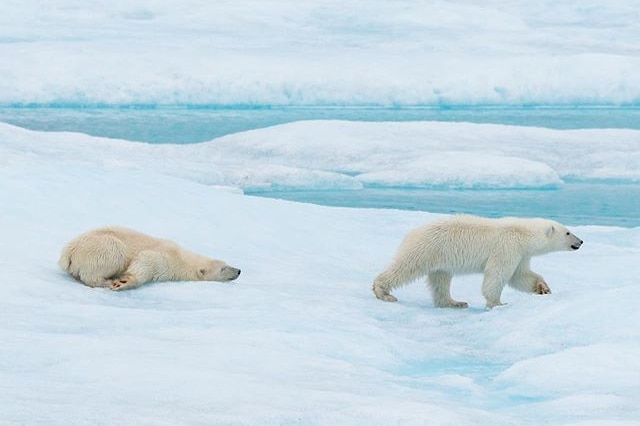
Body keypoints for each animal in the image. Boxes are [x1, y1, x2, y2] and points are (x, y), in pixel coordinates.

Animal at [58, 228, 240, 292]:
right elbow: (146, 261)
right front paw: (123, 282)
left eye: (226, 263)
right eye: (223, 268)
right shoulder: (165, 257)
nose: (239, 270)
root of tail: (68, 252)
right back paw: (107, 281)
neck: (183, 258)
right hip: (102, 247)